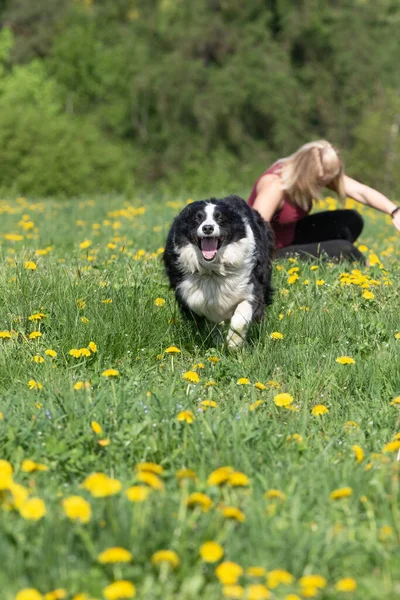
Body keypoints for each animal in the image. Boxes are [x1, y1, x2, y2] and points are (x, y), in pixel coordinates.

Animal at [164, 195, 274, 350]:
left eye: (220, 218)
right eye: (197, 218)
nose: (208, 228)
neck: (213, 270)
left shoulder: (251, 288)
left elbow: (241, 318)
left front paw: (234, 344)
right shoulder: (190, 294)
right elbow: (209, 319)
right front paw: (218, 342)